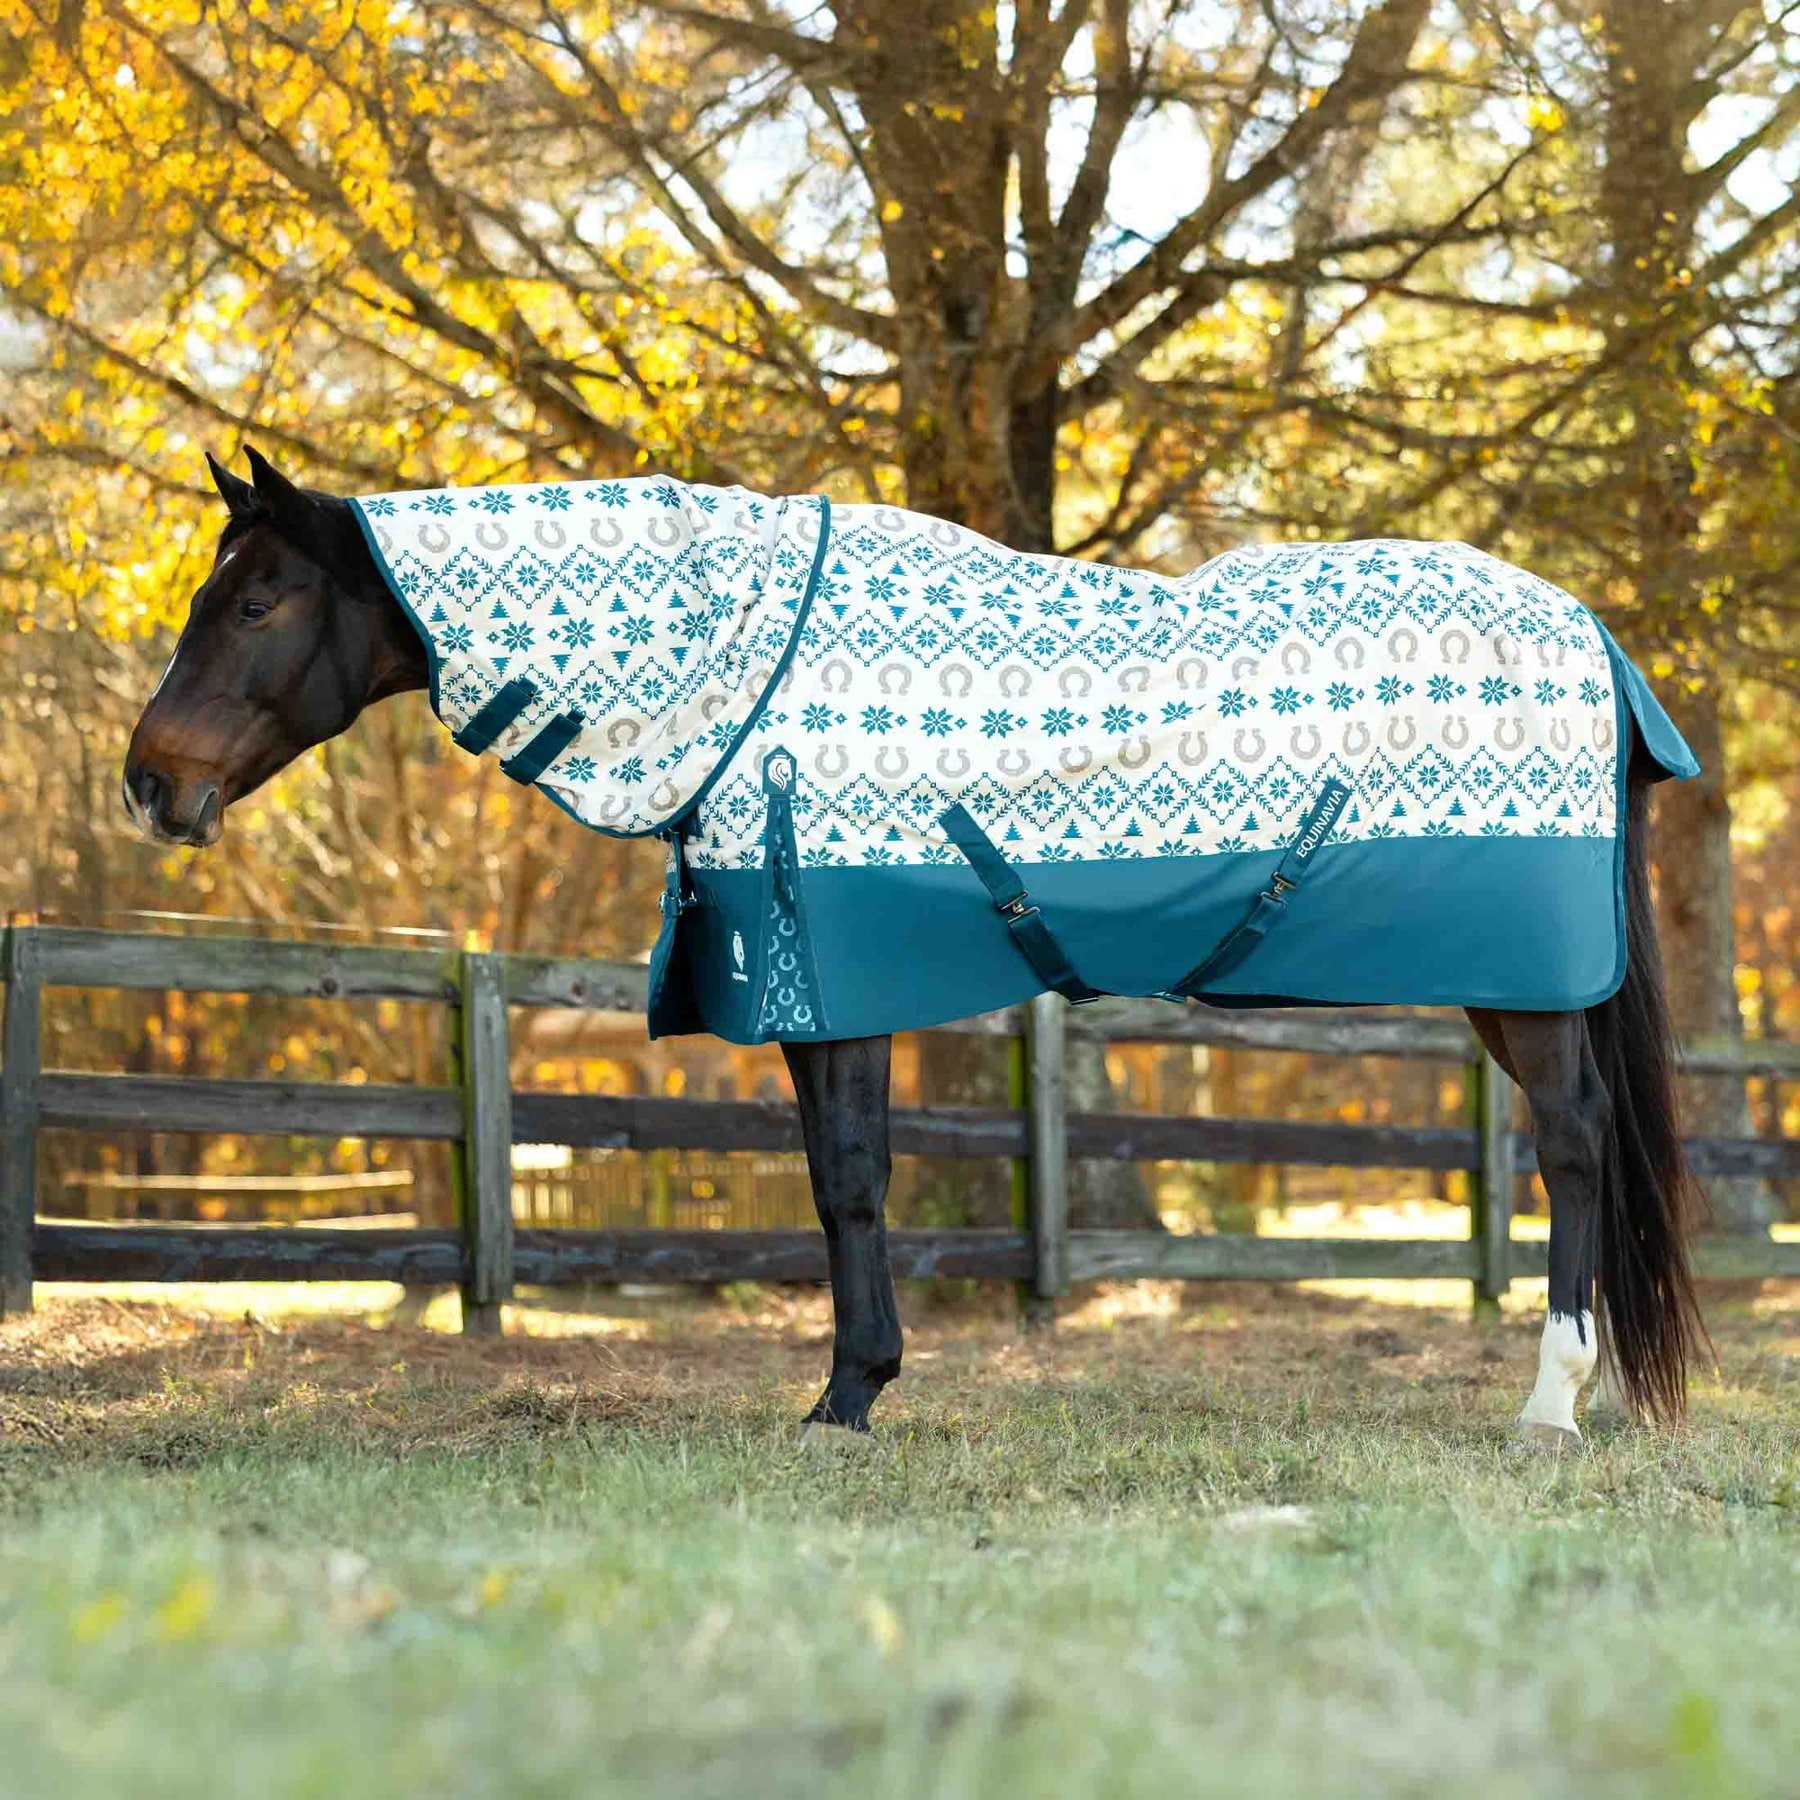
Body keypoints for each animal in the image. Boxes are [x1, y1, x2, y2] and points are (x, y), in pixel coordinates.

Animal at [123, 448, 1706, 1448]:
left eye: (253, 601)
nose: (148, 784)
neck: (735, 666)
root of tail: (1595, 637)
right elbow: (849, 1185)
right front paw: (859, 1387)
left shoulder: (836, 977)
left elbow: (847, 1185)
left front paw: (846, 1400)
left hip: (1528, 989)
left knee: (1574, 1144)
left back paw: (1552, 1402)